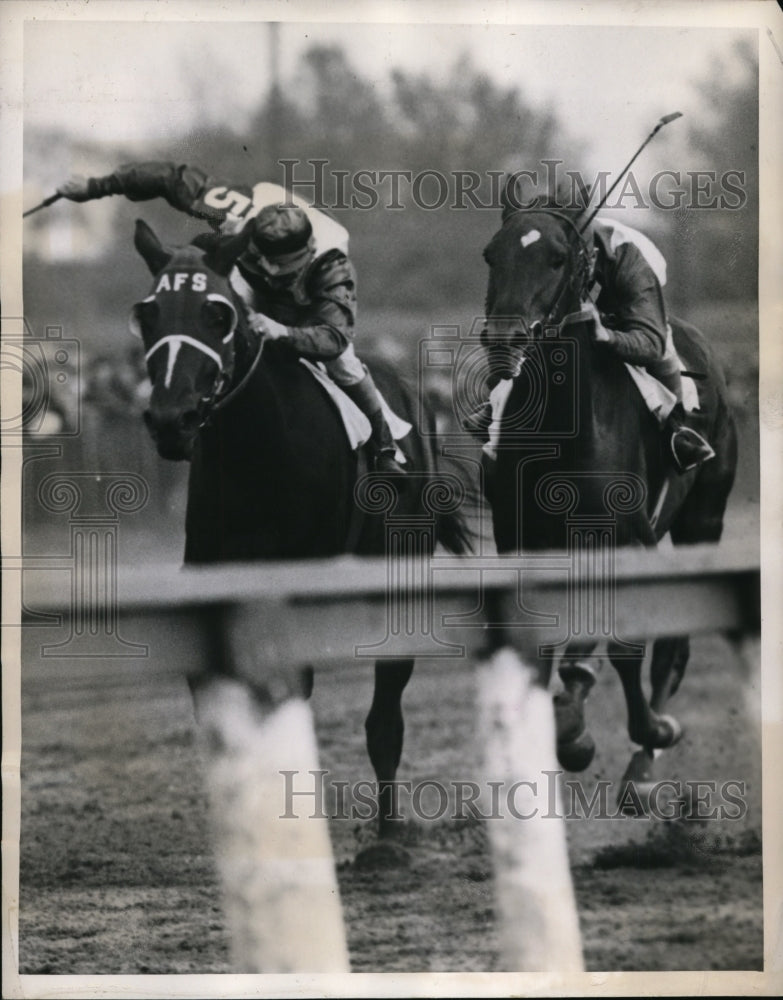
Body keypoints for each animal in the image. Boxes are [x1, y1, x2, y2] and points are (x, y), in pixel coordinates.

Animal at [130, 219, 472, 836]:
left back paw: (389, 830)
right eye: (148, 314)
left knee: (385, 715)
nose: (172, 419)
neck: (257, 456)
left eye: (218, 314)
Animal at [480, 193, 740, 788]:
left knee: (674, 644)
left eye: (556, 258)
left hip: (704, 519)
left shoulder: (628, 540)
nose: (504, 339)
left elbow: (627, 643)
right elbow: (543, 646)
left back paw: (644, 765)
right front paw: (564, 729)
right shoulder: (521, 543)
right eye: (491, 254)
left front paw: (636, 733)